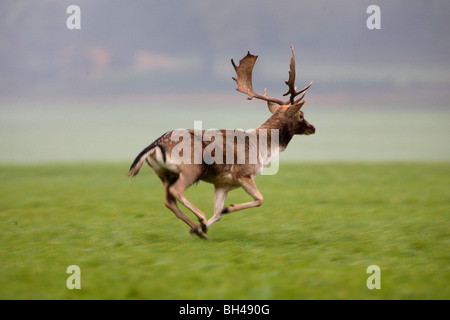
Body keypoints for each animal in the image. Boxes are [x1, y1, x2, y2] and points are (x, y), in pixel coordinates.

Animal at [128, 46, 314, 239]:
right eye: (301, 115)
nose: (312, 128)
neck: (262, 148)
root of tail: (154, 146)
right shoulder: (243, 173)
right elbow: (260, 199)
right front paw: (226, 210)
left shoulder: (222, 184)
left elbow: (217, 212)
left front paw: (204, 227)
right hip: (191, 168)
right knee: (176, 191)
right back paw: (201, 217)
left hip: (164, 174)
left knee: (168, 201)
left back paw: (197, 227)